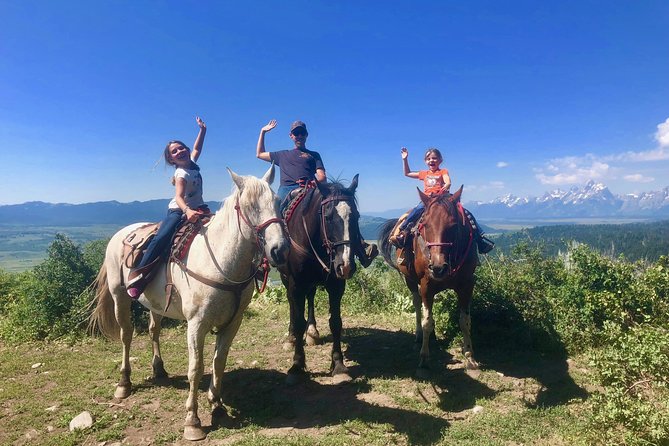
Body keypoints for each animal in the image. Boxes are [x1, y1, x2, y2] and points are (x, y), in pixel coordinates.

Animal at [88, 166, 288, 440]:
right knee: (126, 336)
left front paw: (217, 406)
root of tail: (121, 234)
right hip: (120, 297)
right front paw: (192, 421)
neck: (220, 261)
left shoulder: (233, 323)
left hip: (155, 304)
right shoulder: (196, 325)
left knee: (153, 330)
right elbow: (196, 368)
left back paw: (159, 370)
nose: (280, 250)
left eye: (277, 202)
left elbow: (219, 362)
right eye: (249, 206)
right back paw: (124, 383)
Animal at [378, 185, 478, 376]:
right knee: (418, 304)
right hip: (410, 279)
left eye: (454, 225)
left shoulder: (467, 286)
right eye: (425, 225)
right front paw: (424, 358)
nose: (438, 267)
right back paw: (419, 336)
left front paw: (470, 356)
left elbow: (466, 321)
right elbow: (426, 322)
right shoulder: (426, 285)